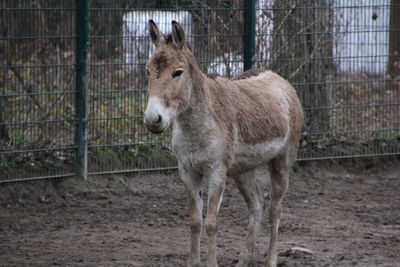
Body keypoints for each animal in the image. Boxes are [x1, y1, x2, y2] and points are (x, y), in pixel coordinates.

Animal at [144, 19, 304, 267]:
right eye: (148, 70)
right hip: (242, 171)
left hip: (281, 163)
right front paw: (193, 262)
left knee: (275, 210)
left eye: (177, 72)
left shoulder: (216, 171)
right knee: (257, 207)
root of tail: (278, 78)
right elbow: (194, 221)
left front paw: (211, 263)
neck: (196, 127)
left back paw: (271, 260)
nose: (153, 119)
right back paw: (243, 261)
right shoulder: (187, 171)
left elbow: (211, 222)